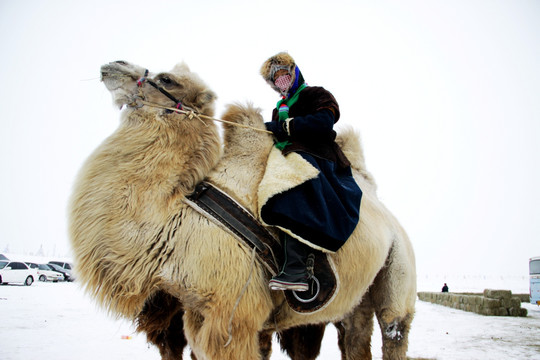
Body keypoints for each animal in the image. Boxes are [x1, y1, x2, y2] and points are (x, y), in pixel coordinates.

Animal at [69, 60, 418, 358]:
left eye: (167, 79)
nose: (114, 65)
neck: (176, 223)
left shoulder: (235, 314)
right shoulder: (195, 309)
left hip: (400, 265)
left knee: (394, 327)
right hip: (356, 297)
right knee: (354, 336)